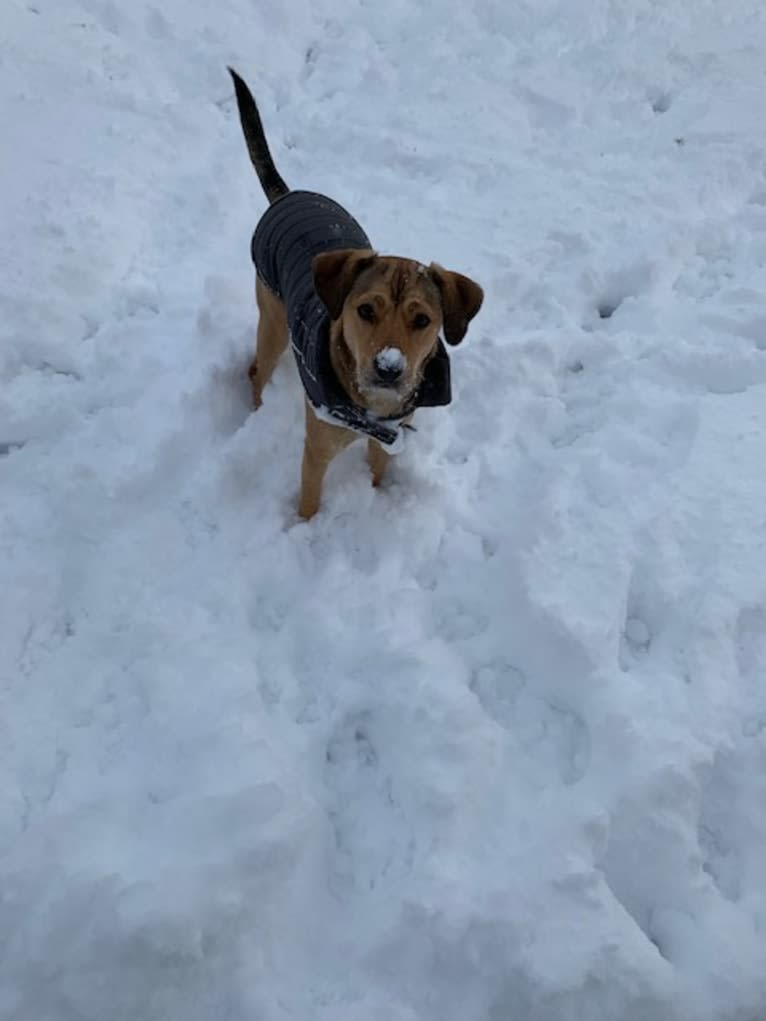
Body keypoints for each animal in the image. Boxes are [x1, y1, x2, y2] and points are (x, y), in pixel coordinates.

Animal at [227, 67, 482, 518]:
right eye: (365, 310)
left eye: (422, 320)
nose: (389, 369)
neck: (374, 410)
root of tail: (287, 195)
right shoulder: (317, 451)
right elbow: (309, 504)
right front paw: (303, 531)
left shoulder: (389, 441)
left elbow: (377, 472)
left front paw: (376, 498)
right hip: (272, 320)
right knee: (257, 370)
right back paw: (257, 407)